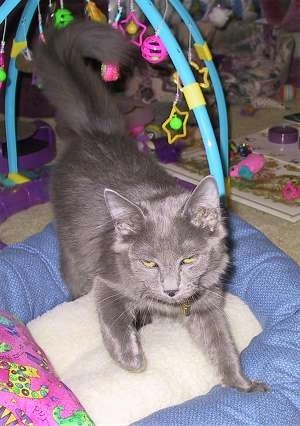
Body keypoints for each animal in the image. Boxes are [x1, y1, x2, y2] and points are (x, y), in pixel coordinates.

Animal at [34, 20, 266, 392]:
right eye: (148, 262)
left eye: (188, 260)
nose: (171, 290)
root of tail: (95, 133)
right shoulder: (108, 281)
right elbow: (112, 318)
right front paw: (131, 360)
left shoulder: (207, 301)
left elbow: (221, 344)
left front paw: (242, 384)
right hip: (75, 256)